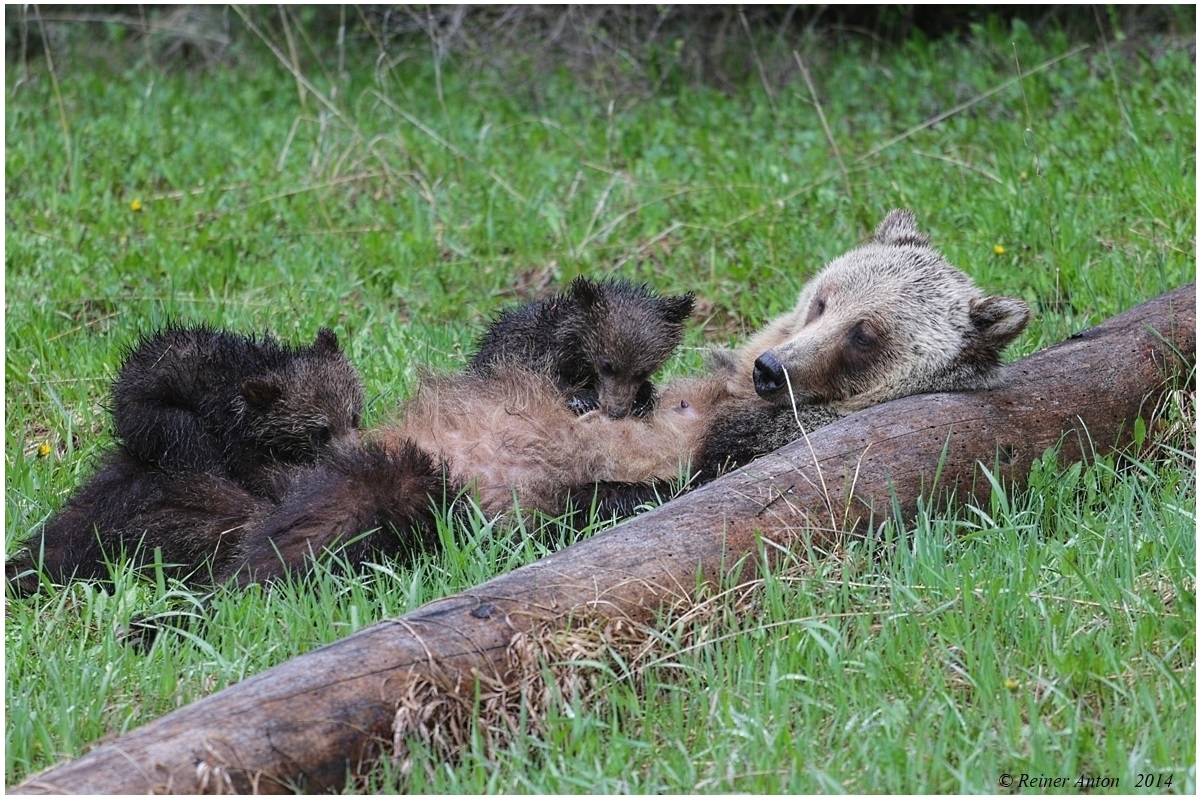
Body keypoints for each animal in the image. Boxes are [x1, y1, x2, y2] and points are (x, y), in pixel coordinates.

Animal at [7, 325, 368, 593]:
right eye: (320, 431)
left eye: (353, 415)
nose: (353, 456)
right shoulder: (230, 433)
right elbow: (253, 471)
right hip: (161, 420)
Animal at [470, 276, 695, 419]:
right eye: (607, 365)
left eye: (644, 371)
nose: (617, 411)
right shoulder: (525, 352)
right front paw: (582, 399)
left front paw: (643, 404)